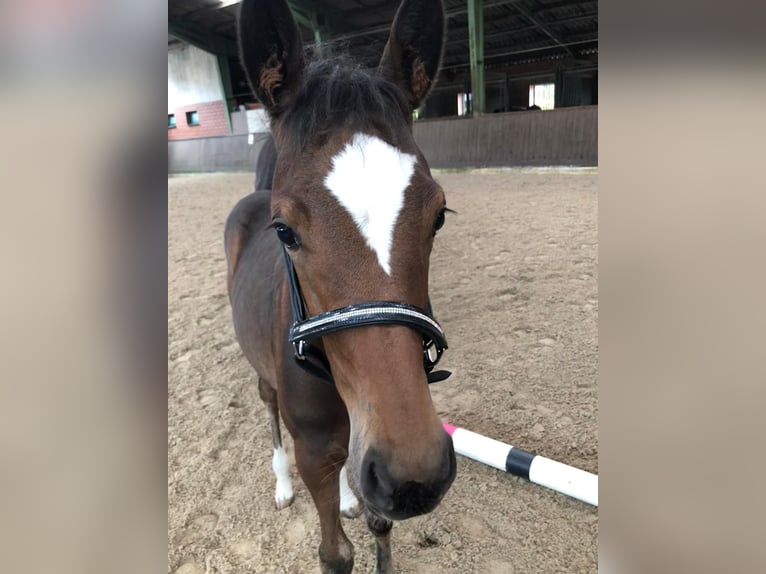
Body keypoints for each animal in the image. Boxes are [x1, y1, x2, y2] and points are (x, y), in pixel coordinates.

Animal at [226, 2, 456, 572]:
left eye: (439, 216)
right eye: (284, 231)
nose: (415, 475)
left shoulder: (369, 448)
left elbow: (378, 521)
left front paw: (361, 508)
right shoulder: (314, 451)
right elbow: (336, 554)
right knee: (267, 404)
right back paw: (281, 485)